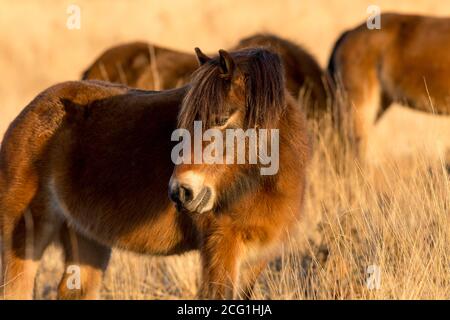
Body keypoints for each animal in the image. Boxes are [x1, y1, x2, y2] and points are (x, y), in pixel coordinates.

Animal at [0, 47, 310, 300]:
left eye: (222, 119)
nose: (181, 192)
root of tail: (28, 113)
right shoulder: (221, 249)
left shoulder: (256, 258)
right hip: (24, 239)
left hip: (86, 239)